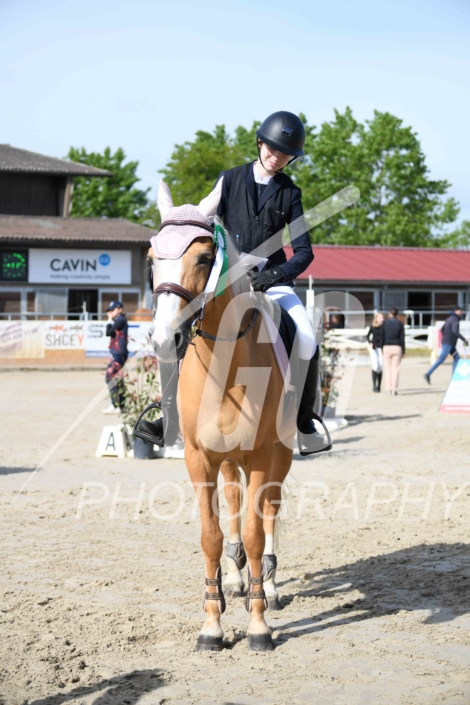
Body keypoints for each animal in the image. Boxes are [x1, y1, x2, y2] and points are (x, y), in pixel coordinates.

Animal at [147, 179, 298, 651]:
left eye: (203, 257)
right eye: (152, 258)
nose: (164, 339)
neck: (225, 367)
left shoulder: (264, 455)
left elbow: (255, 533)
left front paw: (258, 625)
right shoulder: (199, 458)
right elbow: (211, 536)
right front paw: (212, 625)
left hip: (279, 455)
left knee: (267, 510)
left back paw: (268, 587)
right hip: (228, 459)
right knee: (233, 503)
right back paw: (234, 580)